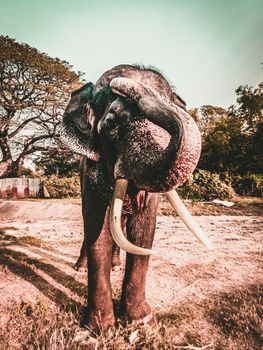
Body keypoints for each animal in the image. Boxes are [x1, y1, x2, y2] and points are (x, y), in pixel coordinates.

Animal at [60, 64, 212, 330]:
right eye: (111, 124)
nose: (120, 84)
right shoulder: (91, 172)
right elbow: (98, 228)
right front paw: (100, 327)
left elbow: (143, 229)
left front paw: (139, 319)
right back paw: (80, 268)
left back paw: (116, 265)